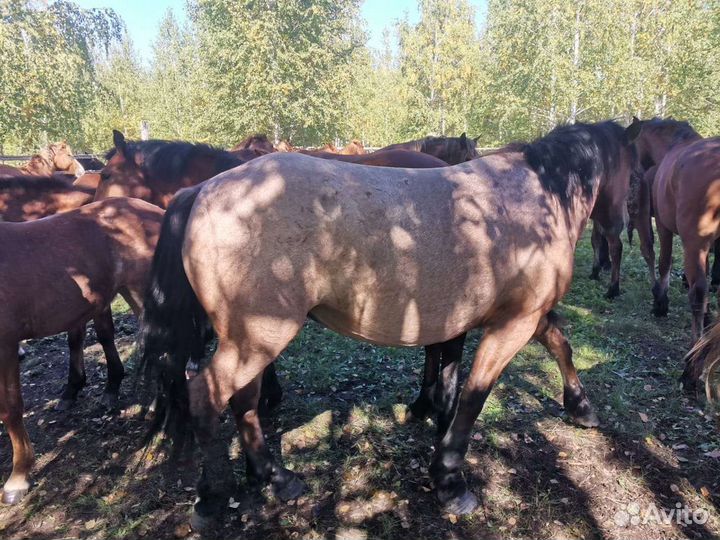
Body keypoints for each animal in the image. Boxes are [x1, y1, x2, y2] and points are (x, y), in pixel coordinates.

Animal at [140, 120, 633, 529]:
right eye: (633, 174)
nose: (620, 225)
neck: (534, 197)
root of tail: (201, 191)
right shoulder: (513, 324)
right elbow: (474, 396)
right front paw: (450, 480)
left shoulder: (523, 316)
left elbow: (558, 344)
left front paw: (581, 407)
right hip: (257, 338)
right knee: (207, 398)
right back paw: (211, 500)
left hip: (251, 339)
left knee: (244, 401)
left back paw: (276, 478)